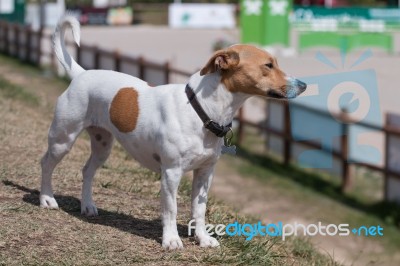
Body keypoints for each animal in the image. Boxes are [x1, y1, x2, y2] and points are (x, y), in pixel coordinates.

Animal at [40, 15, 306, 249]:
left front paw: (202, 239)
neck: (201, 110)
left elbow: (199, 210)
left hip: (102, 145)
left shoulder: (205, 174)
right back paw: (47, 199)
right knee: (46, 164)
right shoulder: (171, 173)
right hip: (63, 139)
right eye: (268, 65)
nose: (303, 85)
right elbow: (171, 209)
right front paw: (171, 240)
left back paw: (87, 206)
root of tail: (82, 73)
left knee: (87, 171)